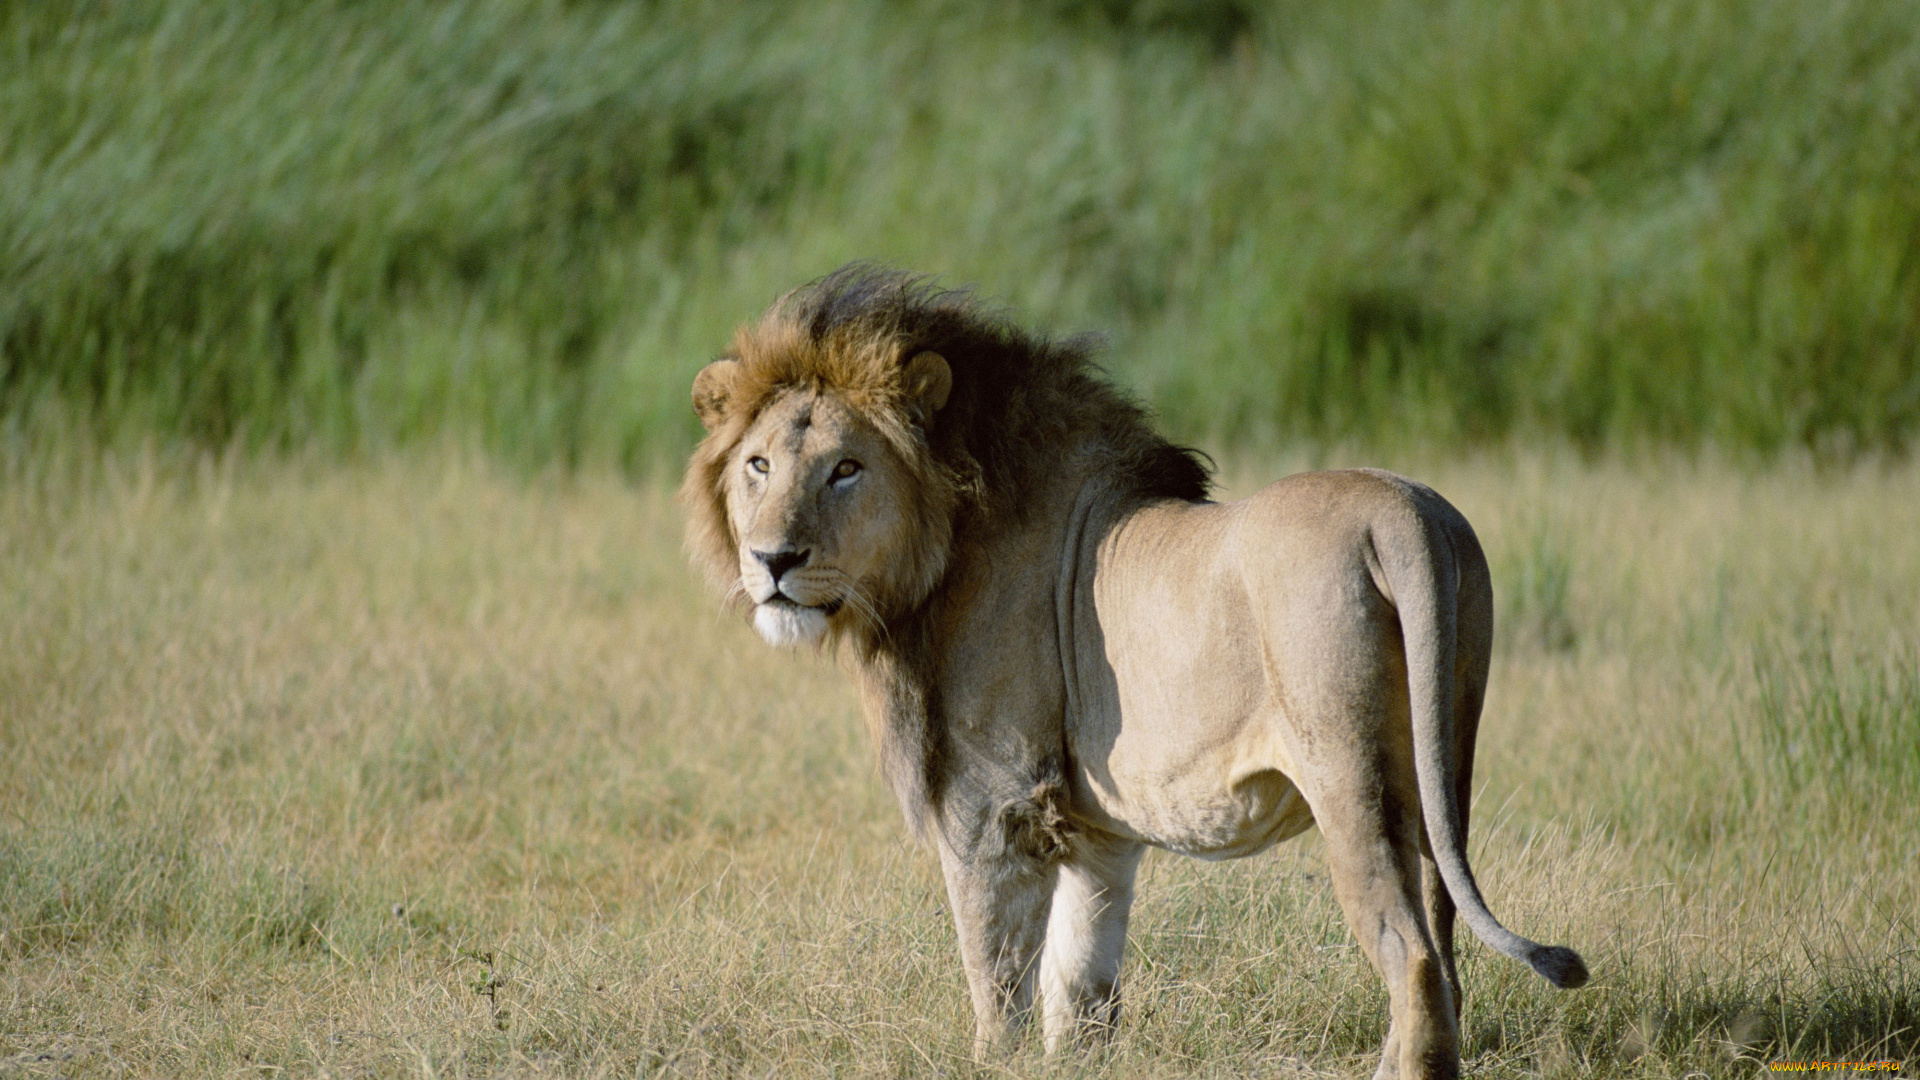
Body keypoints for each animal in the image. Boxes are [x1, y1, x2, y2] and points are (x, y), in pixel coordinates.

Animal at [683, 263, 1582, 1076]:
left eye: (846, 468)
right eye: (759, 466)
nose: (773, 560)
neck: (939, 551)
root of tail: (1402, 515)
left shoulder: (992, 800)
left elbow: (996, 975)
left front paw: (992, 1062)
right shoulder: (1095, 830)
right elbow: (1080, 981)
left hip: (1350, 777)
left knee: (1412, 953)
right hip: (1443, 771)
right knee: (1443, 938)